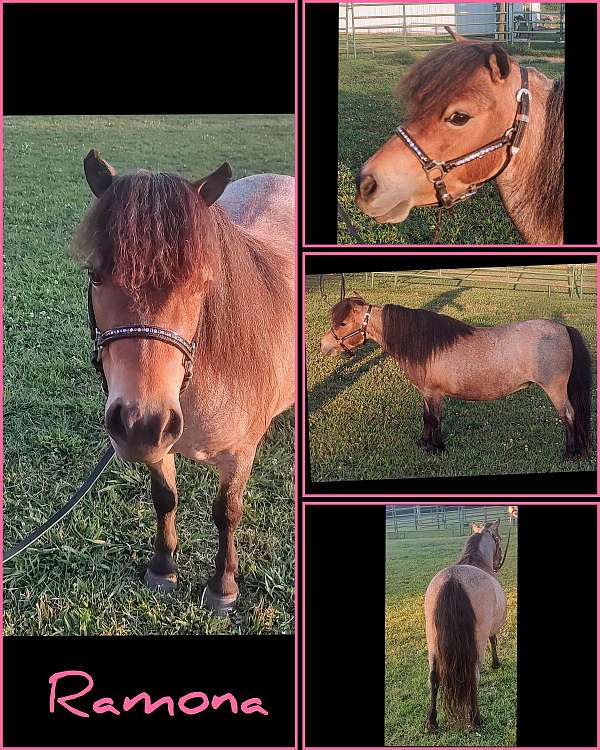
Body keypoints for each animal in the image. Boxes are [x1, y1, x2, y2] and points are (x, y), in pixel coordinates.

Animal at [71, 151, 294, 616]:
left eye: (201, 282)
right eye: (95, 275)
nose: (139, 423)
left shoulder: (239, 456)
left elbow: (227, 513)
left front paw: (223, 587)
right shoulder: (159, 446)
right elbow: (165, 498)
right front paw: (162, 567)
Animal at [322, 296, 592, 462]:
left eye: (343, 322)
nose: (323, 345)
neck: (423, 345)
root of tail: (563, 328)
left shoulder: (434, 393)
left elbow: (435, 419)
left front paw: (436, 448)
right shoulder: (427, 393)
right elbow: (427, 418)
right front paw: (424, 443)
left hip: (555, 389)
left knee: (568, 416)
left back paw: (570, 453)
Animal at [422, 520, 506, 732]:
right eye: (499, 540)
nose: (497, 562)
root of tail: (453, 579)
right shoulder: (490, 630)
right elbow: (494, 640)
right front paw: (496, 663)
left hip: (432, 641)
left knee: (433, 678)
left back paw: (431, 722)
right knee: (473, 677)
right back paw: (475, 720)